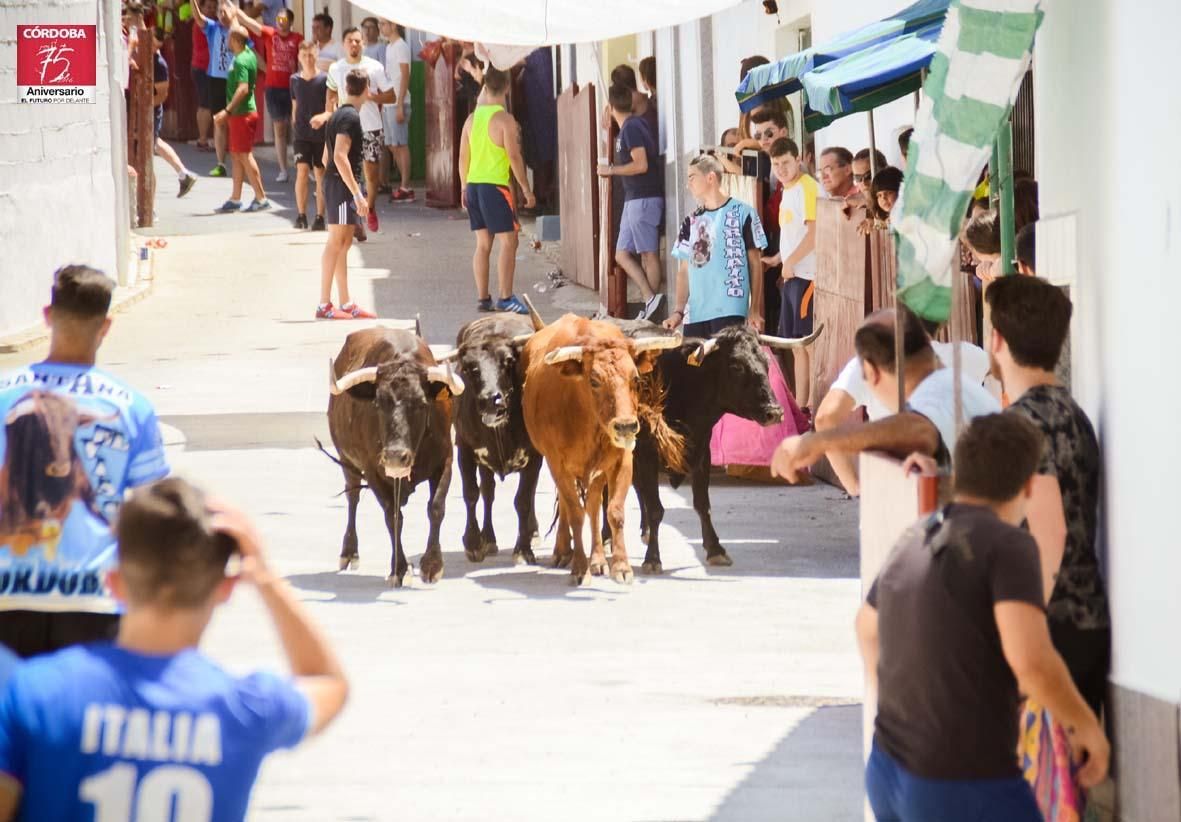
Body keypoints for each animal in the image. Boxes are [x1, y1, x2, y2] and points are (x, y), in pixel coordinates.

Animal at [330, 323, 467, 588]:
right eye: (377, 403)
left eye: (422, 403)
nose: (395, 456)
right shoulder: (373, 470)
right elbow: (392, 516)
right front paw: (399, 569)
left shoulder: (445, 460)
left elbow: (436, 507)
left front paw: (432, 564)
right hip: (346, 462)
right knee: (352, 498)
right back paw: (349, 552)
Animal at [524, 314, 684, 583]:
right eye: (594, 380)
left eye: (635, 379)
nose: (626, 426)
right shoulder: (558, 464)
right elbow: (575, 513)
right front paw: (580, 568)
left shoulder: (622, 460)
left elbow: (614, 512)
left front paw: (621, 566)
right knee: (571, 505)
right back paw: (563, 551)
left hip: (597, 472)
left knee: (593, 506)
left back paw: (598, 560)